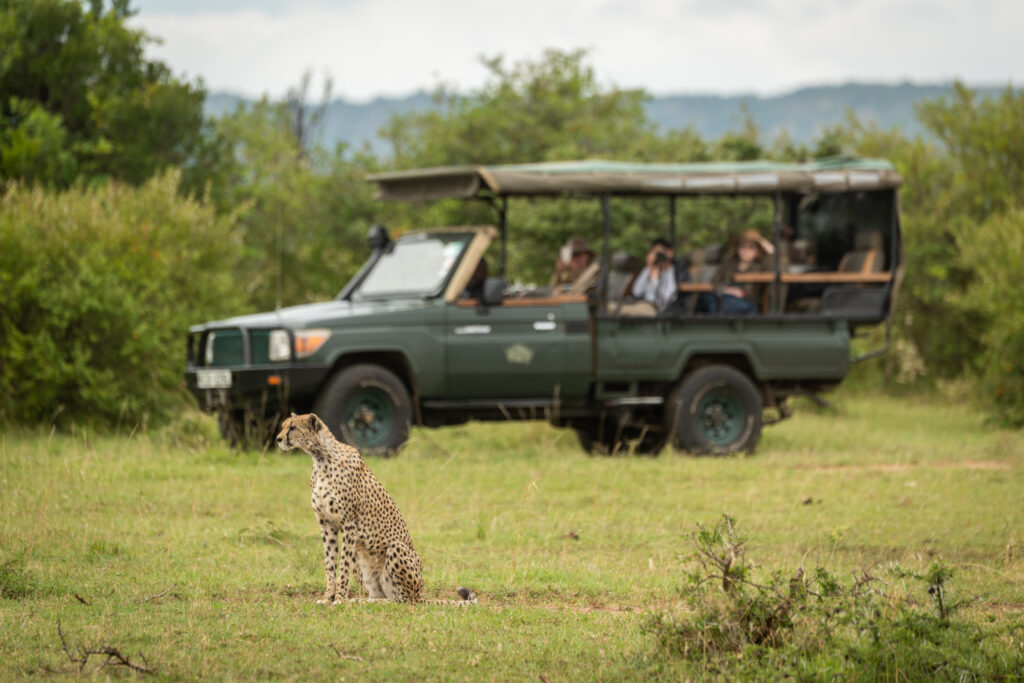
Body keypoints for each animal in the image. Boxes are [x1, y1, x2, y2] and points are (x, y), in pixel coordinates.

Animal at [276, 413, 475, 606]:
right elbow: (329, 565)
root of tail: (422, 594)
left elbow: (342, 567)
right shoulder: (326, 524)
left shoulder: (349, 524)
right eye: (284, 426)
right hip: (362, 560)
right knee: (381, 595)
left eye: (293, 427)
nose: (278, 439)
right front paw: (327, 598)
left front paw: (339, 599)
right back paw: (361, 601)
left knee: (402, 600)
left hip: (395, 549)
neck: (321, 457)